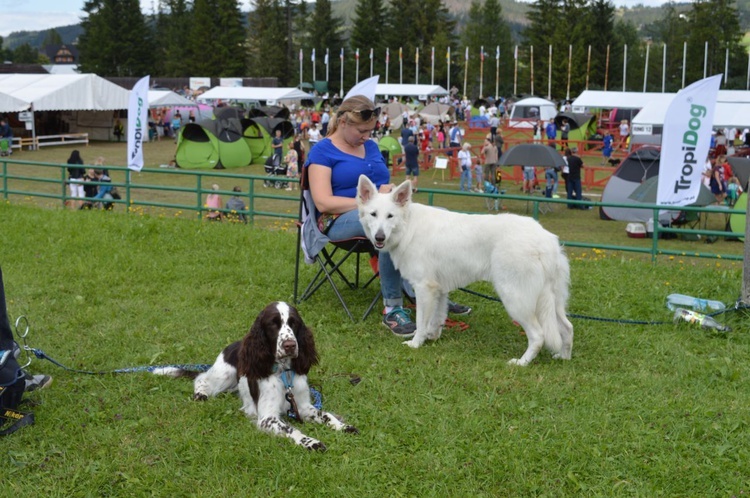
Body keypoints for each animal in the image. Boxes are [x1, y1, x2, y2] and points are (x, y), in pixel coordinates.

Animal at [358, 175, 576, 366]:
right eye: (373, 214)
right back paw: (563, 357)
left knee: (538, 335)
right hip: (552, 302)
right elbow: (436, 318)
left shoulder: (423, 288)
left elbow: (421, 321)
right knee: (567, 328)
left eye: (390, 216)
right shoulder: (439, 290)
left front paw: (416, 343)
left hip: (515, 299)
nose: (379, 237)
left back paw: (521, 363)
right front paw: (432, 337)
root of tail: (544, 240)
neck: (408, 226)